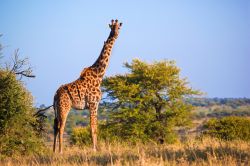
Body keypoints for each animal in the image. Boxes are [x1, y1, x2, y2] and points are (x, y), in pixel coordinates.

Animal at [52, 19, 122, 153]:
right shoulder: (93, 103)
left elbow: (95, 127)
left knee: (55, 127)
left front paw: (97, 148)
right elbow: (92, 127)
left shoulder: (96, 105)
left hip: (56, 109)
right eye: (111, 27)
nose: (115, 34)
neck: (99, 75)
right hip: (64, 107)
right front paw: (94, 149)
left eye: (119, 28)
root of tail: (55, 95)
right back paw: (61, 151)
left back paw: (53, 151)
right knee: (61, 127)